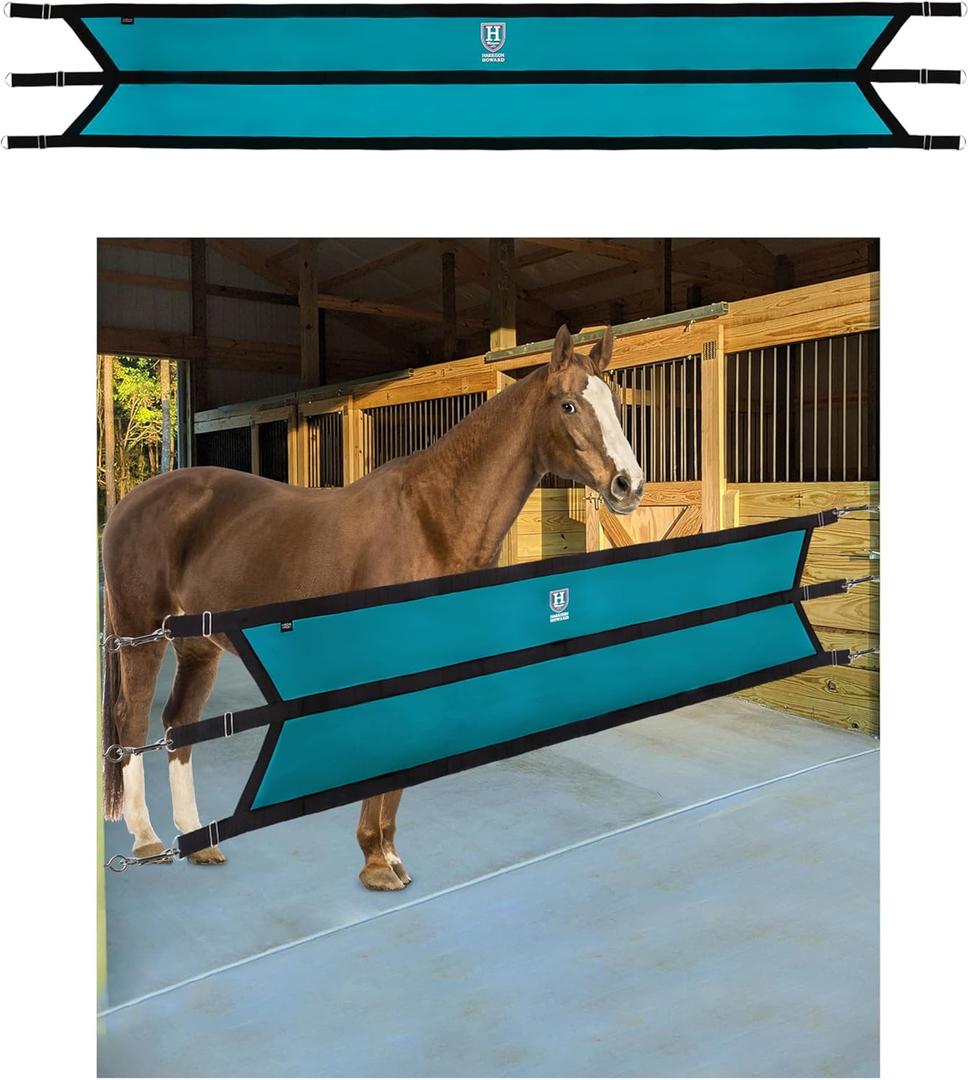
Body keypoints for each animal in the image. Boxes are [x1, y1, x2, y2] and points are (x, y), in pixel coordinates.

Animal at [101, 324, 644, 890]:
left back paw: (200, 842)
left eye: (614, 403)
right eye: (568, 405)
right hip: (141, 635)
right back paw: (148, 841)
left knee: (178, 724)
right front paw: (376, 863)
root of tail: (132, 500)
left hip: (199, 646)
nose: (629, 484)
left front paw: (388, 856)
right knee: (134, 719)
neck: (430, 518)